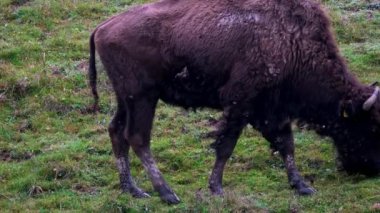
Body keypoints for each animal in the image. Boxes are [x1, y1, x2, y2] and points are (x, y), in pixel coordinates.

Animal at [87, 0, 380, 204]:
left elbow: (286, 144)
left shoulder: (271, 110)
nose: (372, 170)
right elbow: (226, 145)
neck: (290, 40)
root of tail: (102, 27)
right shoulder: (240, 103)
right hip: (143, 97)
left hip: (126, 99)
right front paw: (216, 188)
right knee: (137, 138)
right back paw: (167, 194)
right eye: (367, 127)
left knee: (117, 132)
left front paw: (302, 185)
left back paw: (133, 189)